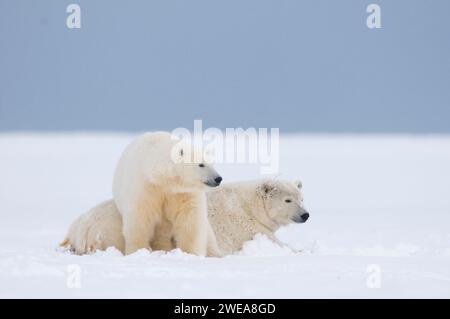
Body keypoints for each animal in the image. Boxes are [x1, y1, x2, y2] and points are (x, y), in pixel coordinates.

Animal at [62, 180, 310, 258]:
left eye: (301, 197)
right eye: (288, 200)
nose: (305, 215)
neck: (248, 204)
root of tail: (82, 230)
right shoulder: (246, 226)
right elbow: (274, 242)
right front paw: (302, 251)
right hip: (115, 230)